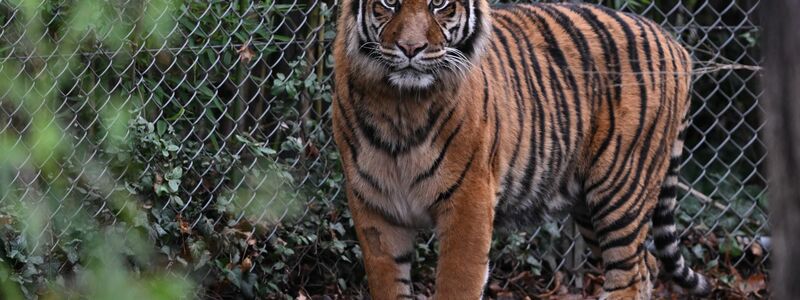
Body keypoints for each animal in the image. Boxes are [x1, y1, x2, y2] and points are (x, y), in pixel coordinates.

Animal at [332, 0, 712, 296]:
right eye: (389, 2)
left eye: (439, 4)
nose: (411, 49)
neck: (400, 105)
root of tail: (676, 45)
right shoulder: (374, 206)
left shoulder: (469, 201)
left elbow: (457, 285)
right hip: (589, 205)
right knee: (646, 265)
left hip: (621, 189)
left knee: (630, 276)